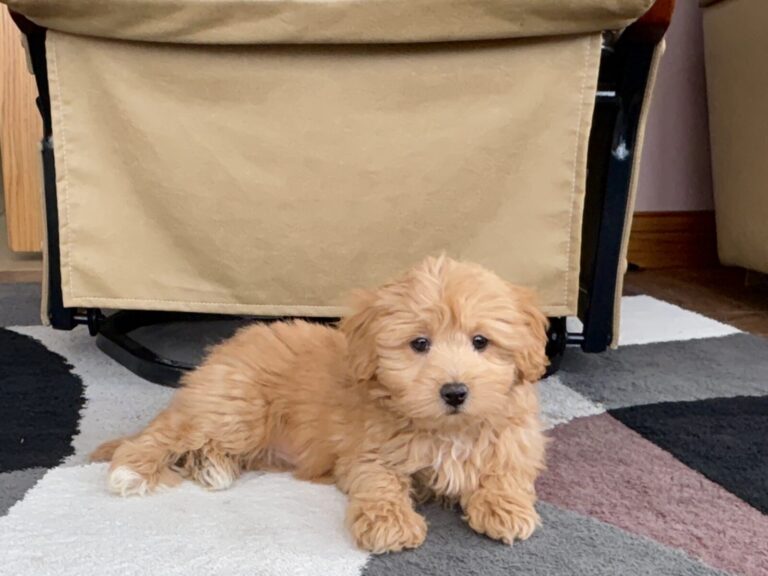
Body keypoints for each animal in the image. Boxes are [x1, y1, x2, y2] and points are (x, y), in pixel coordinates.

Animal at [92, 255, 549, 553]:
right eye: (420, 344)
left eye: (481, 341)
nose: (454, 391)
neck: (446, 429)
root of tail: (218, 355)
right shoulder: (369, 452)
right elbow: (379, 484)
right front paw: (390, 524)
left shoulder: (515, 439)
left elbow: (506, 470)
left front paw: (505, 508)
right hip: (237, 409)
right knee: (166, 434)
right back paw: (132, 471)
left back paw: (211, 467)